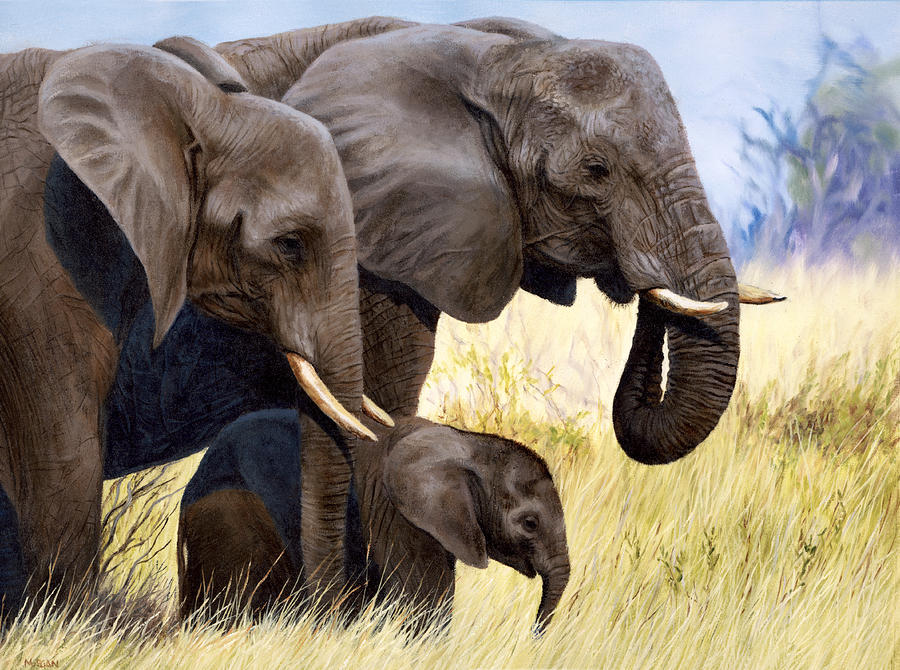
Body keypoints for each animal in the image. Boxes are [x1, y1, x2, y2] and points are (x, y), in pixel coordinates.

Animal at [177, 411, 569, 632]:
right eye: (529, 523)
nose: (533, 634)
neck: (469, 443)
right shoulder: (398, 513)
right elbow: (423, 602)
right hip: (233, 518)